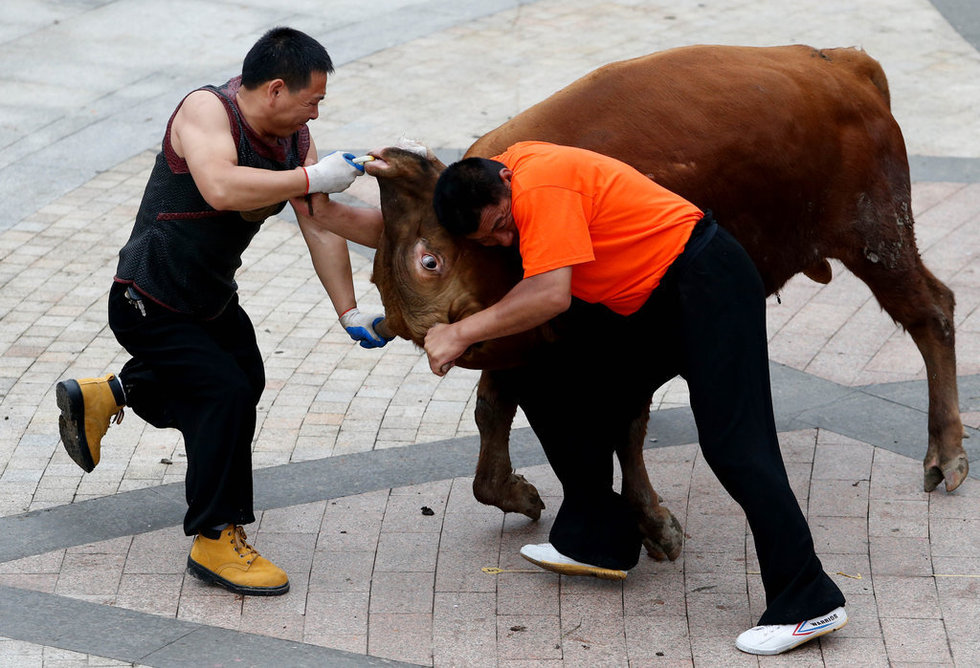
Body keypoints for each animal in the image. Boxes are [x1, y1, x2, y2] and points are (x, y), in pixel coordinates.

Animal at [366, 44, 964, 548]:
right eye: (399, 269)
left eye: (429, 260)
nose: (385, 160)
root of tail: (843, 65)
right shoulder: (526, 341)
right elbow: (493, 412)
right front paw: (520, 493)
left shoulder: (640, 349)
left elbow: (623, 425)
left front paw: (654, 524)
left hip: (878, 238)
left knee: (932, 312)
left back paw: (947, 454)